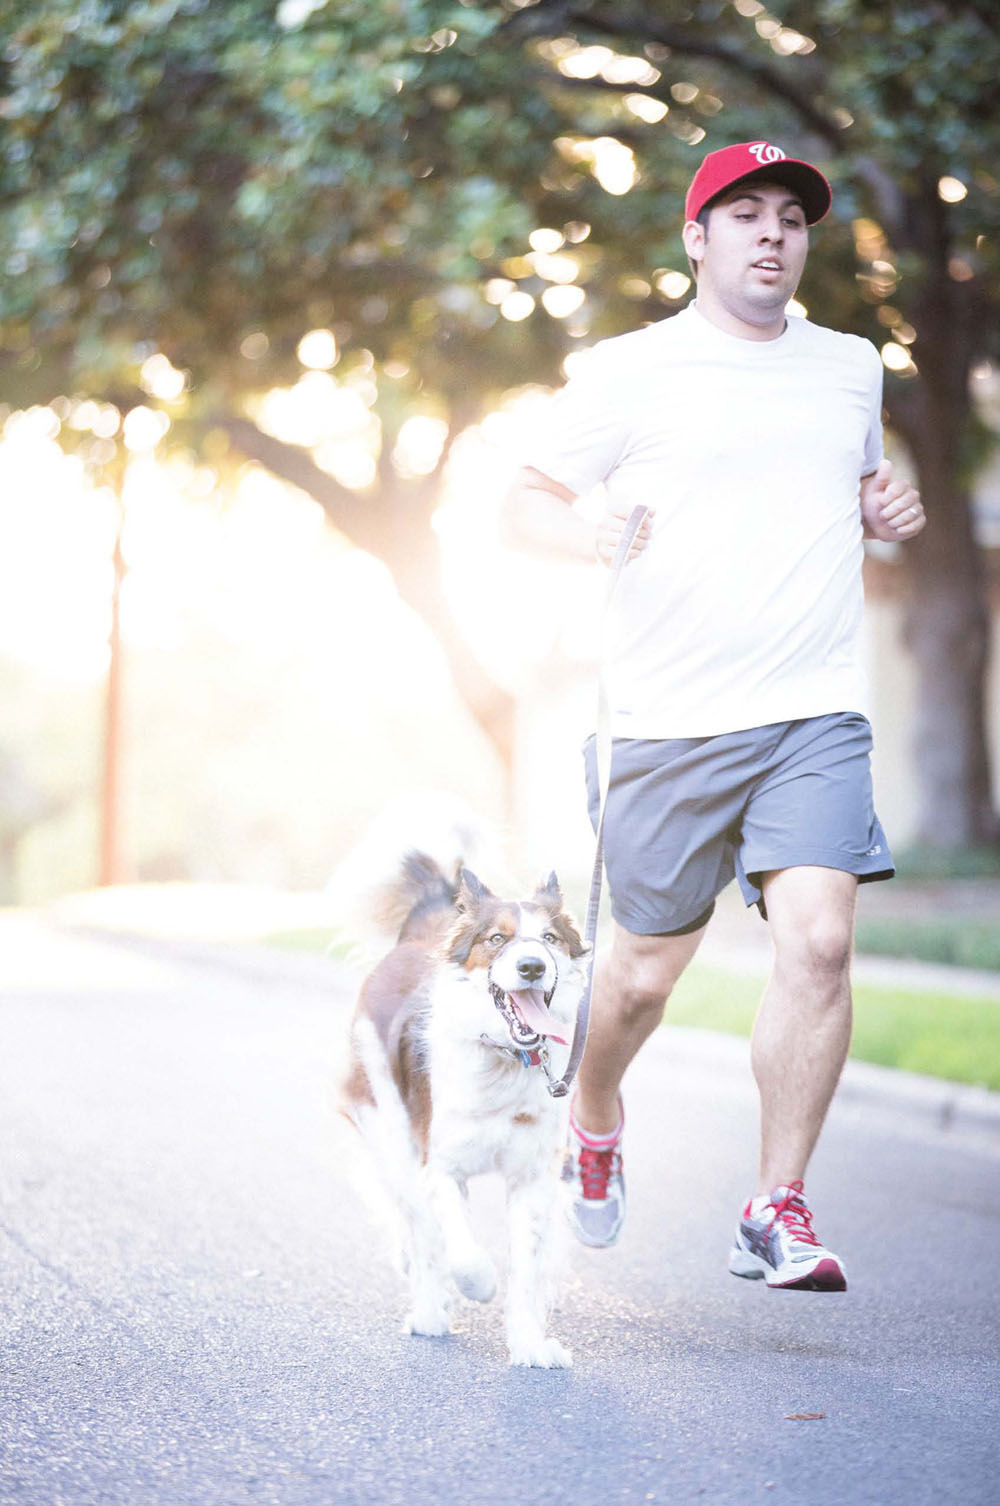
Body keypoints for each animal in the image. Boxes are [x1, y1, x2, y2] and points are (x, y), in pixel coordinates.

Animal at [340, 855, 590, 1373]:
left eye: (550, 938)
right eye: (497, 938)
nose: (532, 966)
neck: (504, 1058)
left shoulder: (534, 1179)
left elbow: (526, 1269)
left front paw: (529, 1342)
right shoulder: (440, 1168)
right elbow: (461, 1249)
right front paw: (478, 1285)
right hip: (390, 1131)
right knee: (420, 1229)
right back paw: (429, 1310)